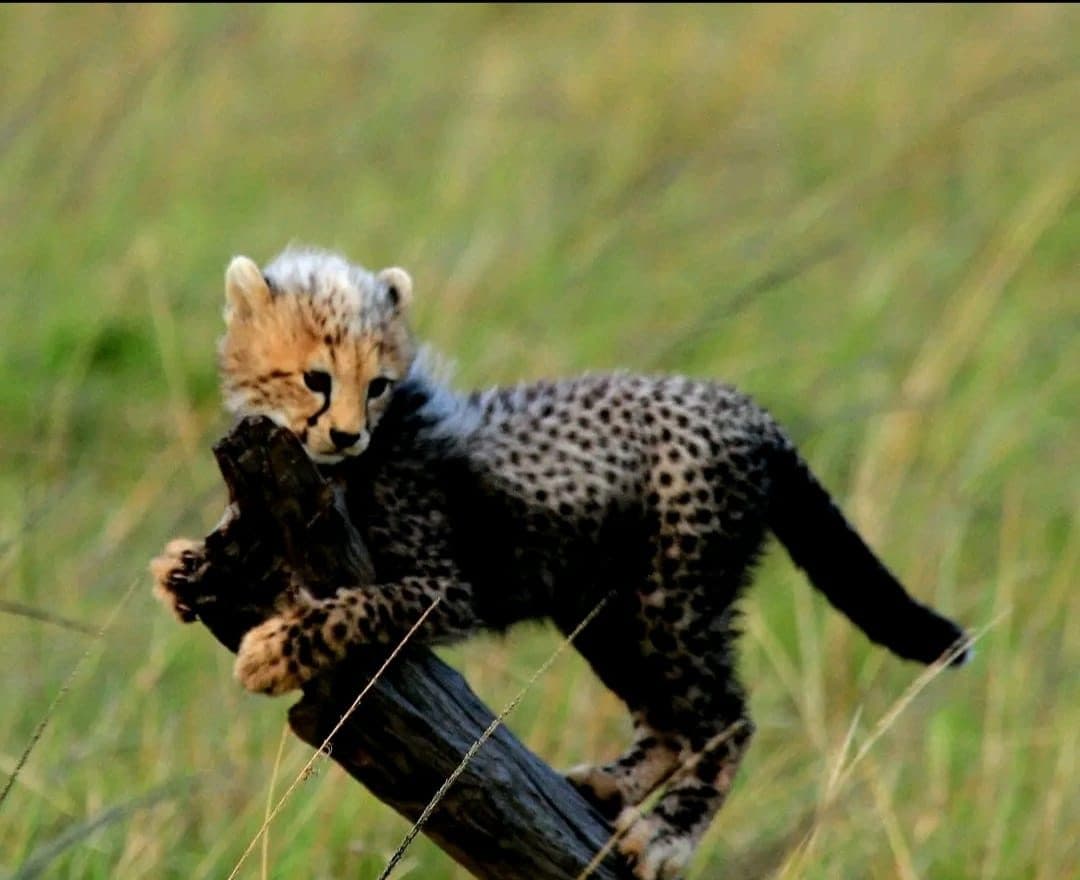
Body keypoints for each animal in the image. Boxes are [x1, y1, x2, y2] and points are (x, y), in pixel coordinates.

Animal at [152, 247, 970, 880]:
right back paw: (610, 786)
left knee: (724, 719)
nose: (347, 434)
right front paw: (182, 565)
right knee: (669, 717)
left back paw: (668, 835)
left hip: (674, 592)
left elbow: (359, 605)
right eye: (316, 378)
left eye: (376, 384)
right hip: (608, 610)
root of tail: (743, 405)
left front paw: (274, 651)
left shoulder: (447, 589)